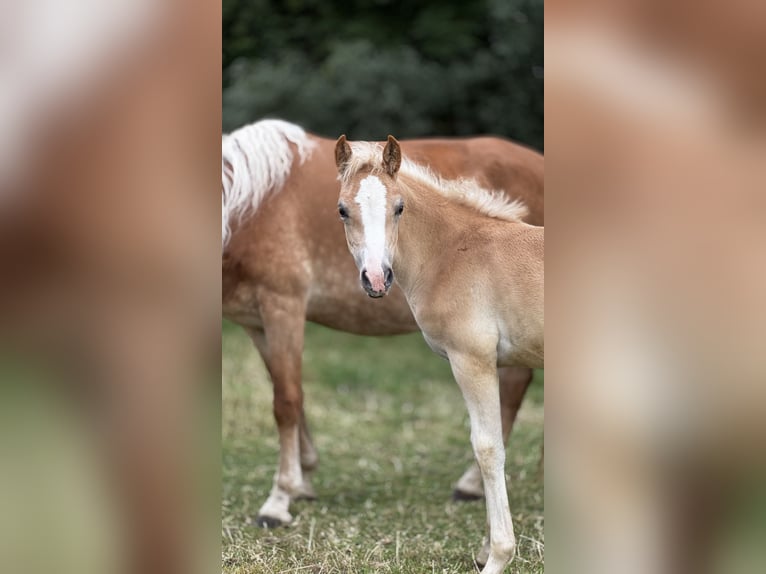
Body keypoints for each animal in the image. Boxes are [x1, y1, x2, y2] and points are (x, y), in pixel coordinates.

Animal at [222, 119, 544, 528]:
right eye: (341, 210)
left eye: (400, 208)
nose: (377, 279)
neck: (250, 204)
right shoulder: (257, 323)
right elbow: (292, 394)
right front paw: (303, 480)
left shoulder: (283, 306)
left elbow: (286, 402)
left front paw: (278, 500)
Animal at [334, 135, 543, 573]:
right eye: (343, 209)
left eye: (399, 207)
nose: (376, 279)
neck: (456, 253)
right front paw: (485, 548)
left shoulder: (472, 360)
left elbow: (487, 448)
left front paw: (498, 556)